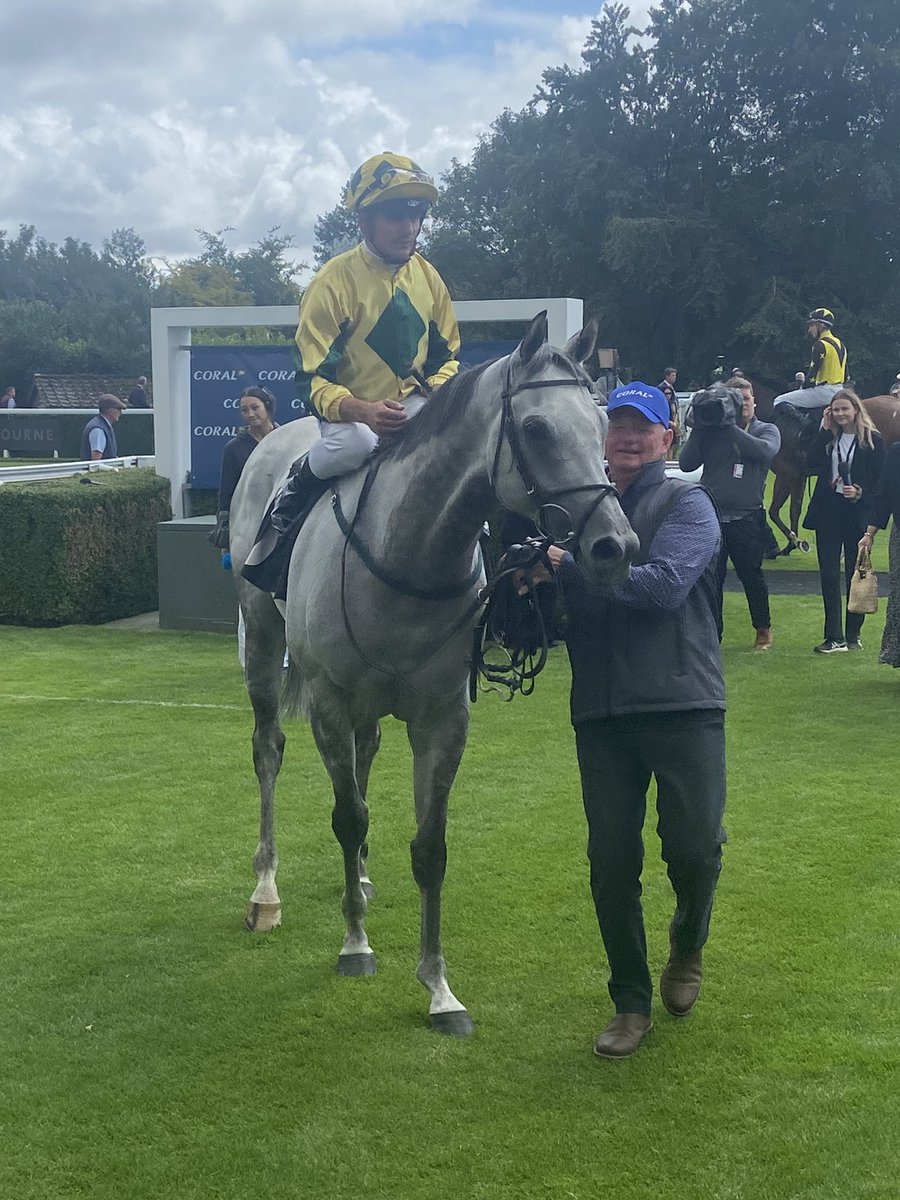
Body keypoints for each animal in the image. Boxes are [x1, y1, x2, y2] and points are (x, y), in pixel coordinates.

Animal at [230, 314, 643, 1036]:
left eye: (600, 423)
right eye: (537, 429)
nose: (614, 547)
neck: (405, 556)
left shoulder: (443, 715)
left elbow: (429, 847)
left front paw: (439, 988)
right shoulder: (331, 699)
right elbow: (347, 818)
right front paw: (355, 945)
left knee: (365, 758)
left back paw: (361, 879)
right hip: (262, 639)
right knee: (269, 751)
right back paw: (266, 890)